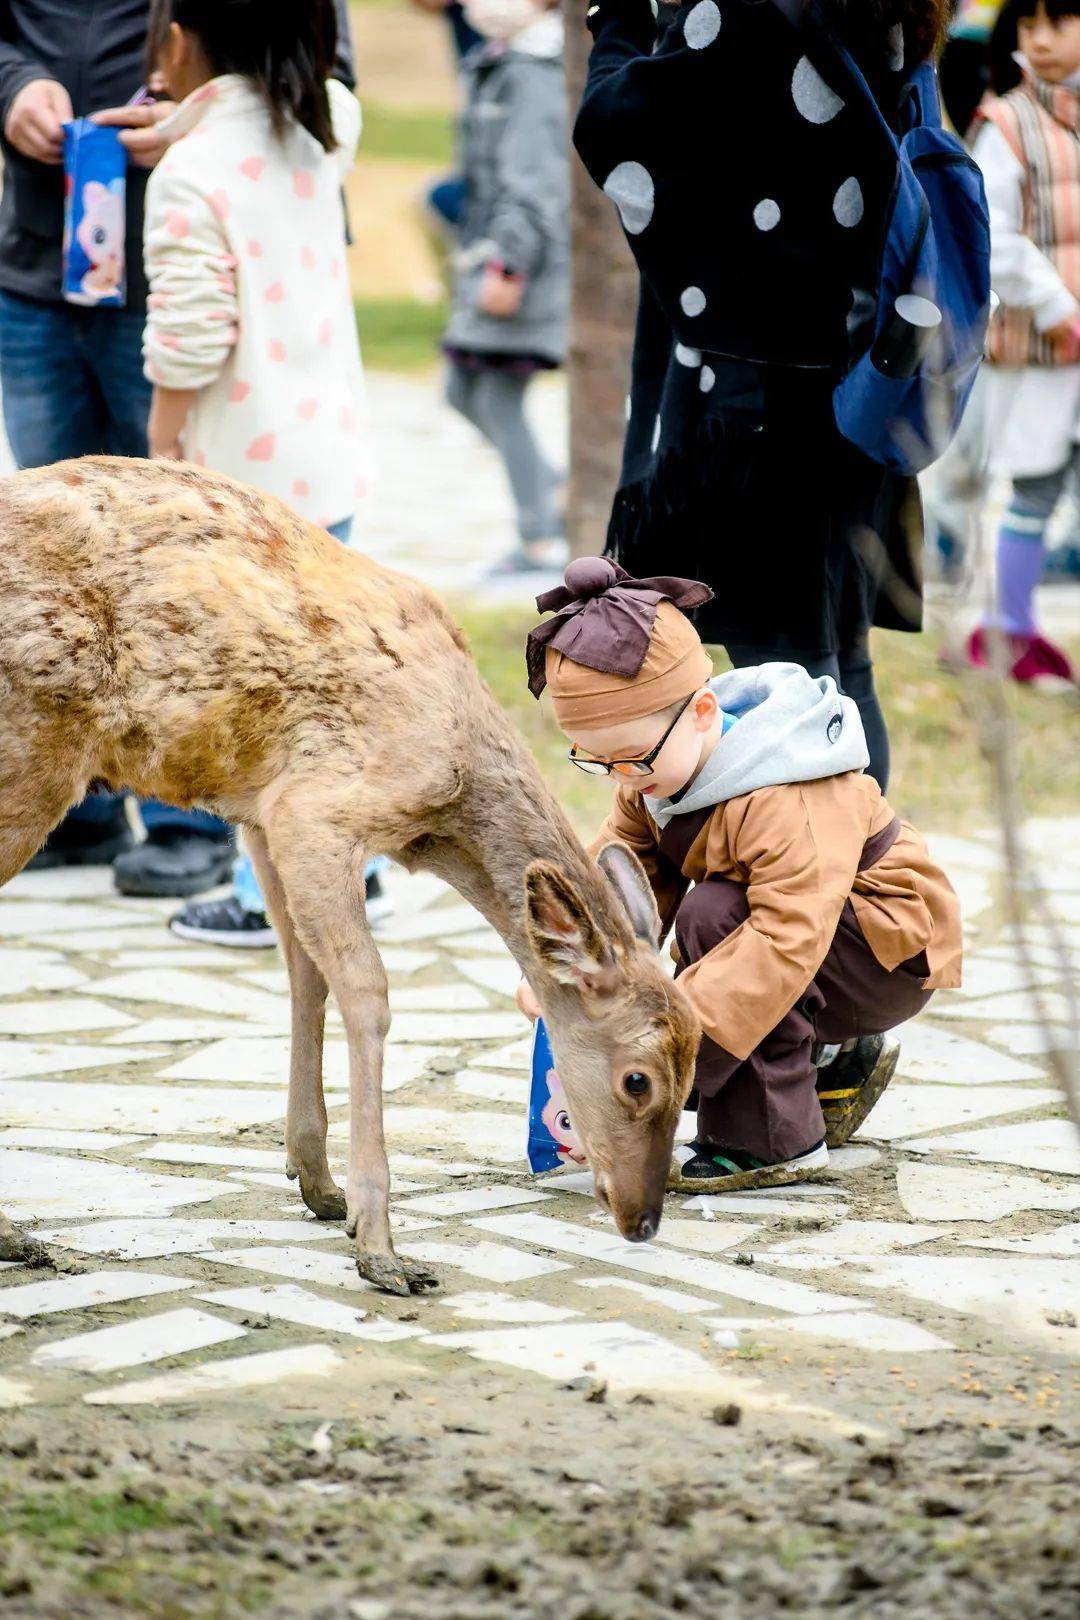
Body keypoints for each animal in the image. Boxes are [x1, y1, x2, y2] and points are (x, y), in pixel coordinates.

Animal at [2, 456, 702, 1289]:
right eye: (638, 1079)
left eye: (694, 1070)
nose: (643, 1220)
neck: (447, 812)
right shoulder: (318, 806)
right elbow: (366, 991)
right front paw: (381, 1245)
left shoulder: (262, 812)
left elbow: (306, 978)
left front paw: (318, 1183)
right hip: (32, 748)